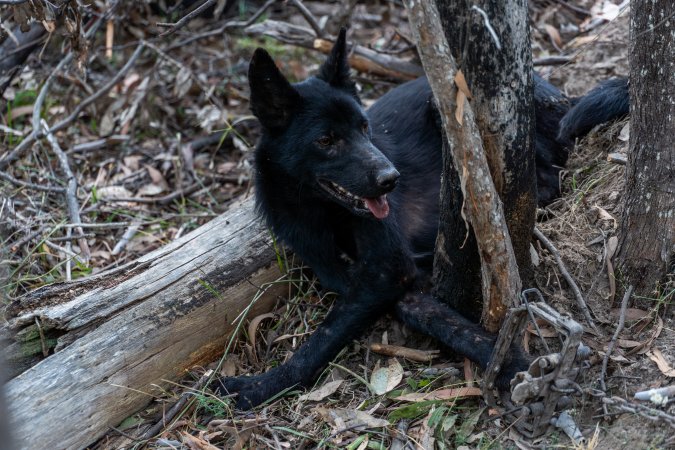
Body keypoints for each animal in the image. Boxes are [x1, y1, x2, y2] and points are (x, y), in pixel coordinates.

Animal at [219, 30, 632, 408]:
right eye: (325, 140)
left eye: (365, 127)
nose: (391, 179)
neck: (320, 212)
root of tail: (560, 94)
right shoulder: (381, 281)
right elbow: (448, 324)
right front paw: (514, 363)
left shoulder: (387, 271)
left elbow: (323, 338)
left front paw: (262, 385)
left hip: (455, 110)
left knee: (546, 178)